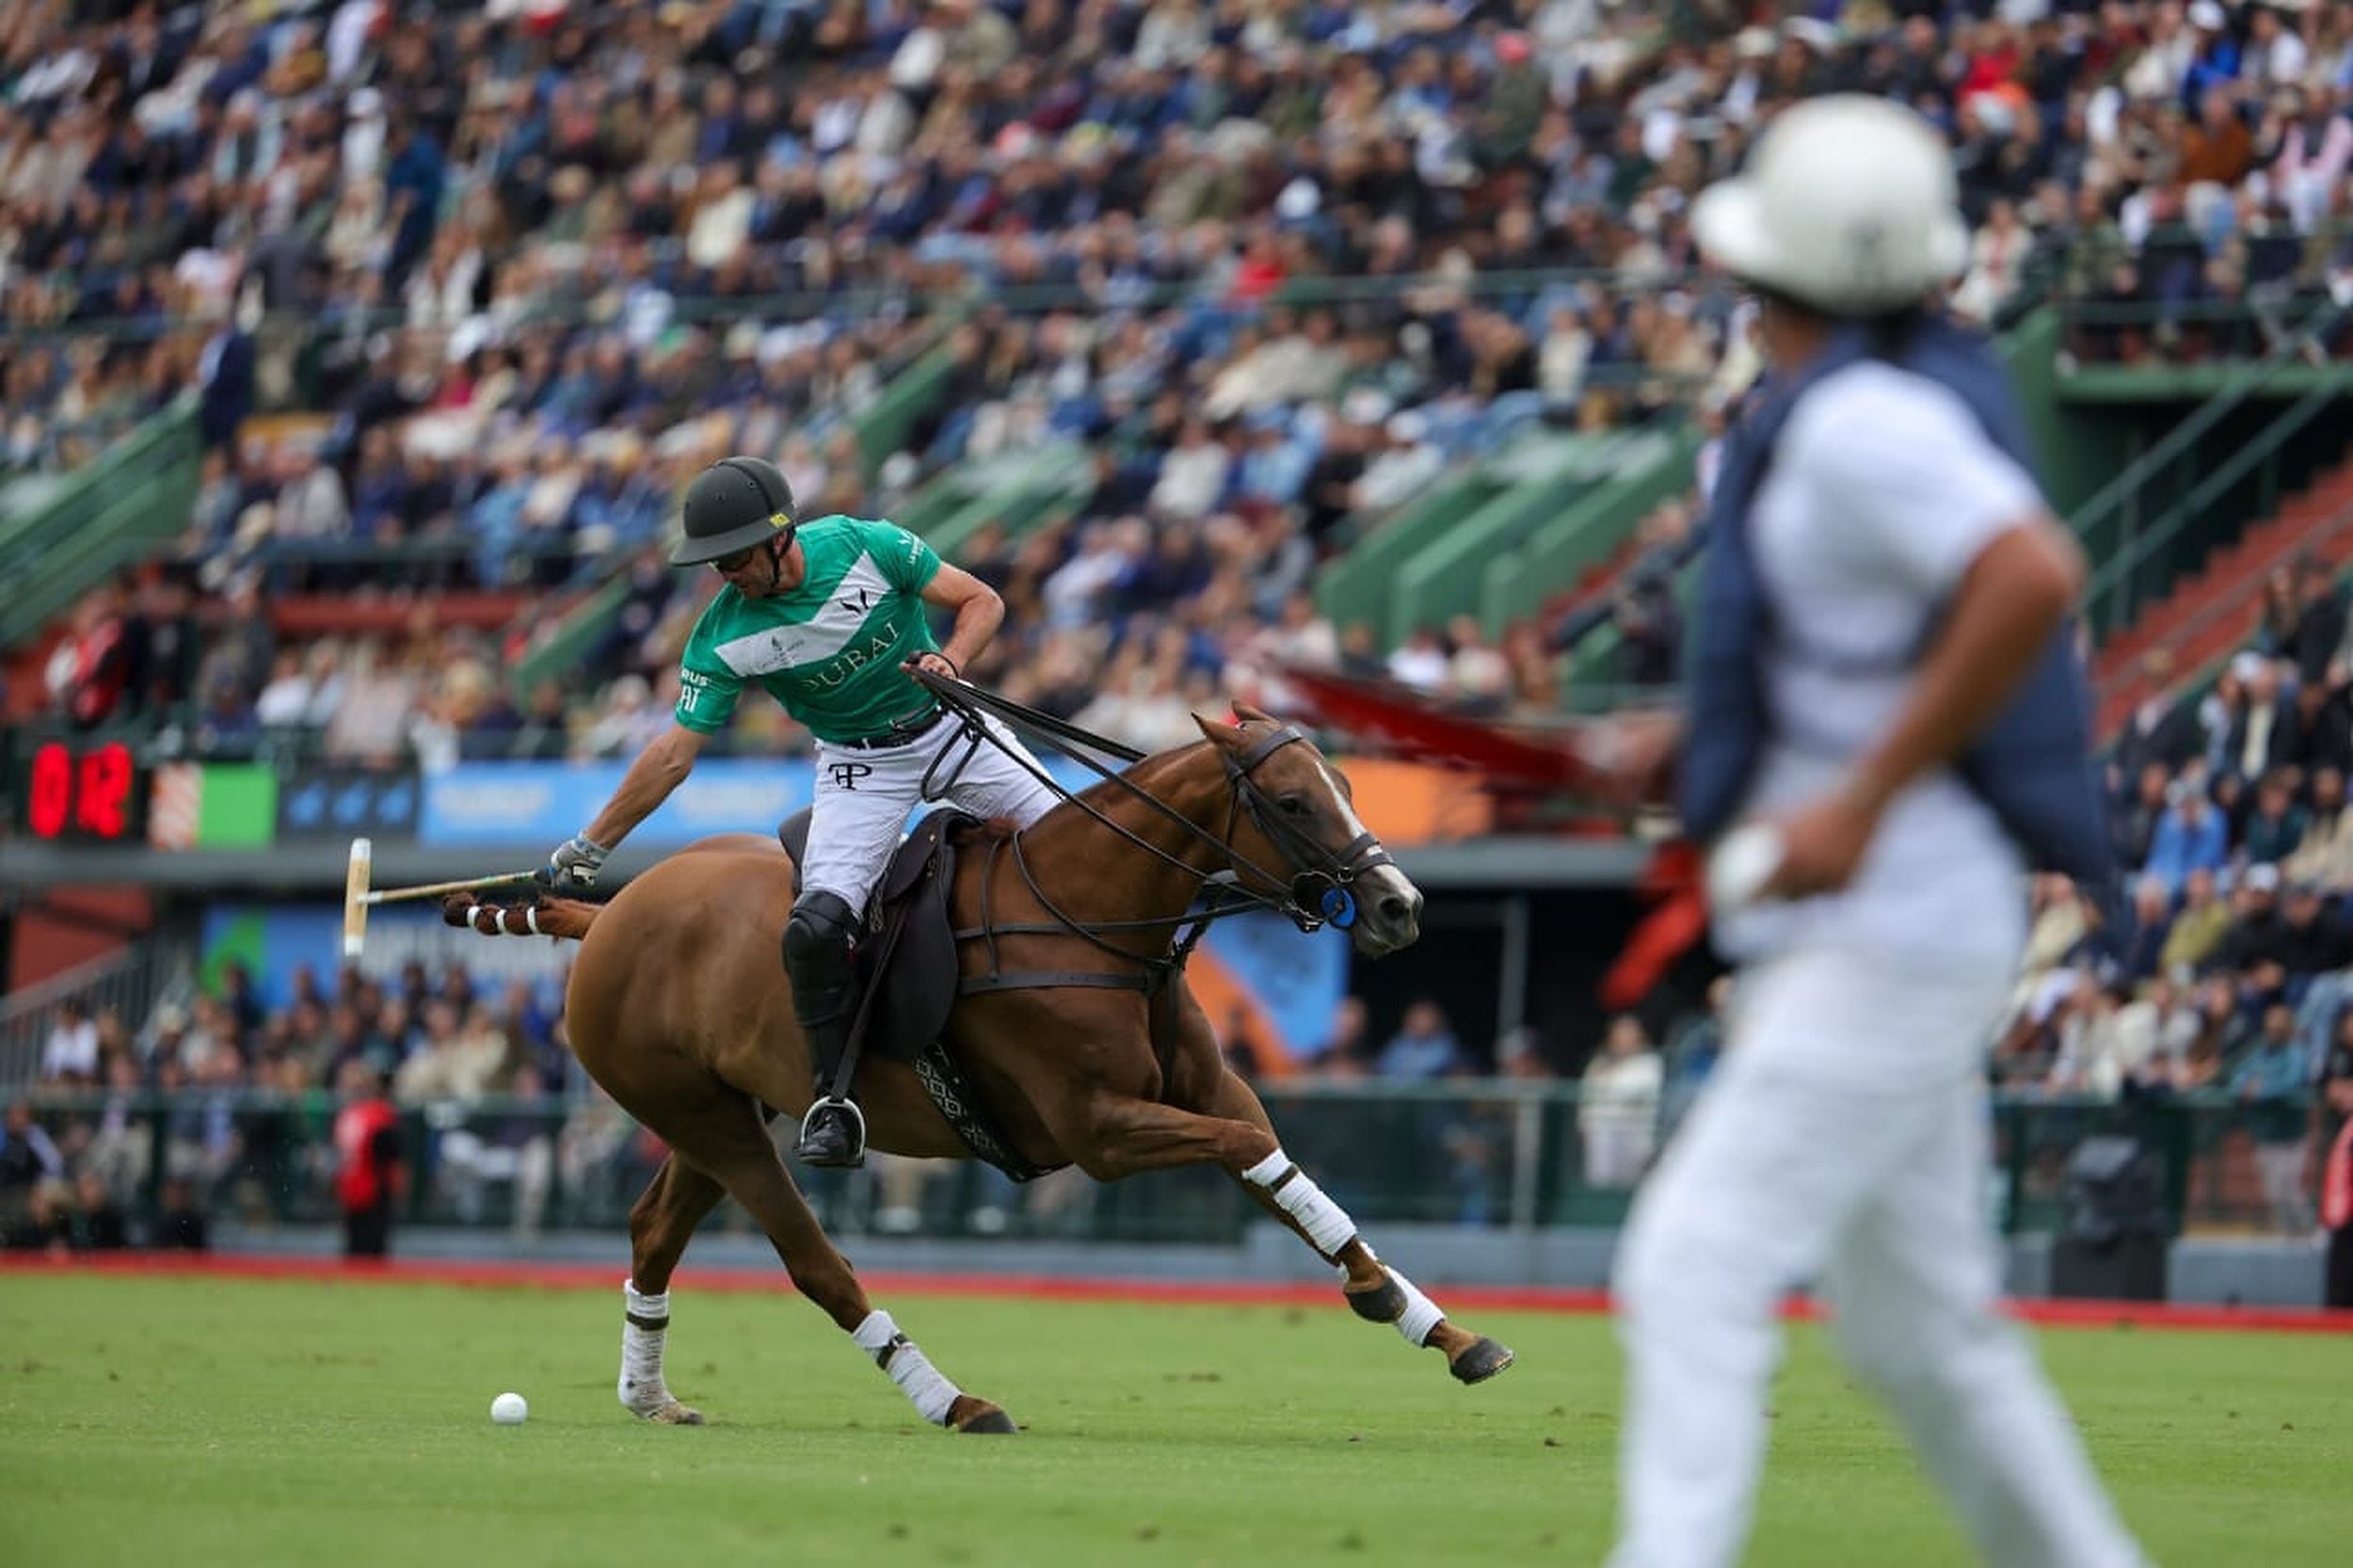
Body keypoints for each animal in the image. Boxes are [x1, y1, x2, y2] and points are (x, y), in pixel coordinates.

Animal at [451, 702, 1516, 1434]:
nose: (1400, 906)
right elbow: (1247, 1148)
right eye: (1293, 801)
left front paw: (1438, 1327)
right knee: (814, 1262)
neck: (1091, 913)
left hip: (722, 1109)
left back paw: (649, 1395)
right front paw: (1393, 1302)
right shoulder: (1099, 1129)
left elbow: (1283, 1174)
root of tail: (610, 914)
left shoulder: (1208, 1090)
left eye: (1347, 785)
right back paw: (953, 1400)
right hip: (706, 1117)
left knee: (653, 1224)